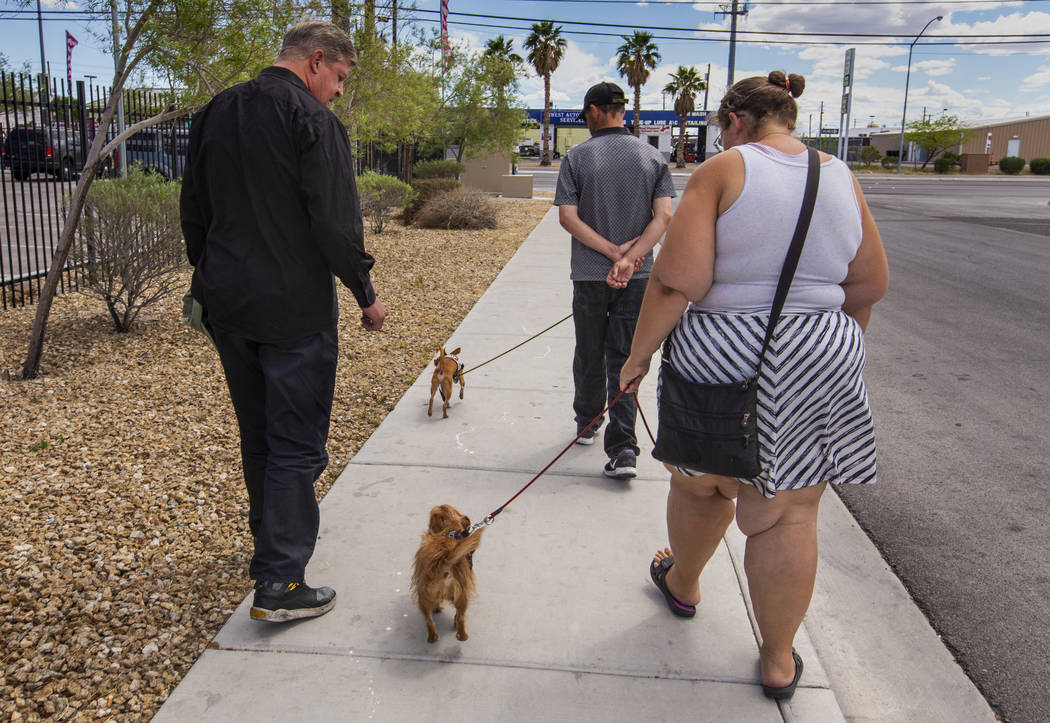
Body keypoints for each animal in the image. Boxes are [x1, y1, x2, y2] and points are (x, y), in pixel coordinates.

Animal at [413, 505, 487, 642]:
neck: (450, 531)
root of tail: (445, 560)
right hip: (462, 594)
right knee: (460, 617)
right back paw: (462, 635)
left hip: (424, 594)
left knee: (429, 620)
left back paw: (432, 638)